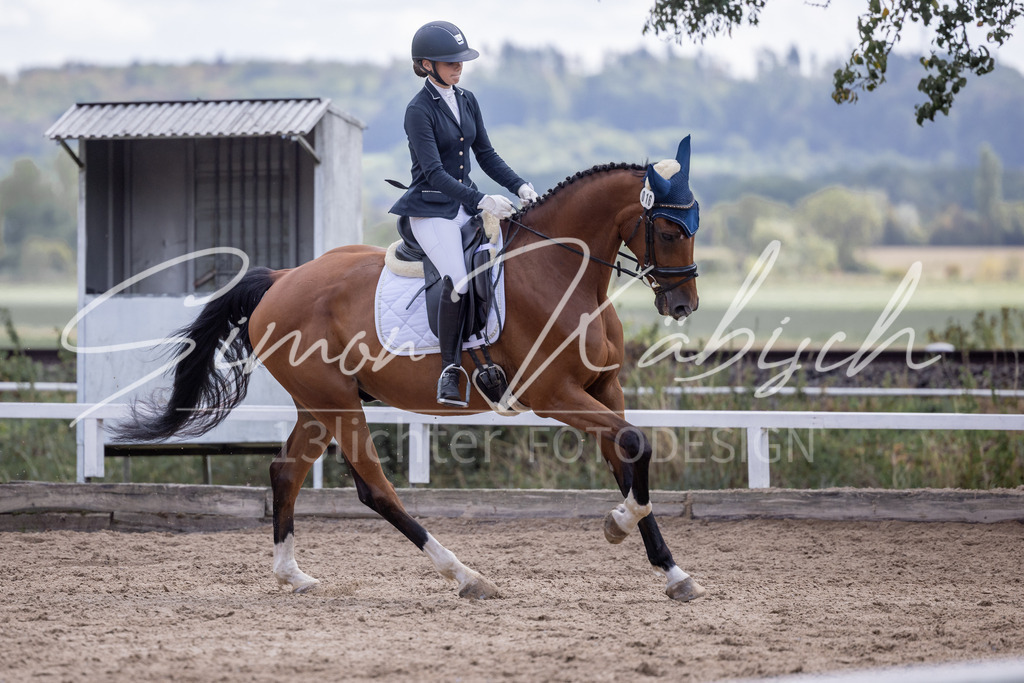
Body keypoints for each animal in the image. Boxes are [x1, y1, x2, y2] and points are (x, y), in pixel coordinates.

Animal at [114, 138, 705, 602]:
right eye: (669, 230)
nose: (683, 306)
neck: (560, 271)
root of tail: (282, 278)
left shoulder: (604, 388)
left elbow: (627, 455)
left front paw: (671, 570)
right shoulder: (553, 395)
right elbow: (636, 444)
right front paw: (618, 525)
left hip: (318, 403)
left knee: (285, 470)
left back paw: (292, 575)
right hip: (337, 402)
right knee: (375, 489)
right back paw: (466, 576)